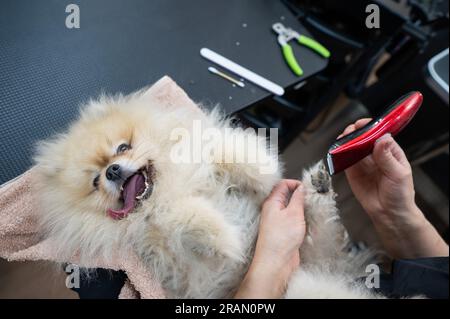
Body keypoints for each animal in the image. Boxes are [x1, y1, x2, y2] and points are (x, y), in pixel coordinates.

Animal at [34, 85, 380, 300]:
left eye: (123, 147)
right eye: (94, 182)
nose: (112, 171)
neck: (170, 186)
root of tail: (331, 266)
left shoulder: (206, 157)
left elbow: (224, 151)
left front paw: (263, 169)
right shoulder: (172, 252)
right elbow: (183, 217)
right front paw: (229, 240)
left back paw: (318, 185)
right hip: (304, 282)